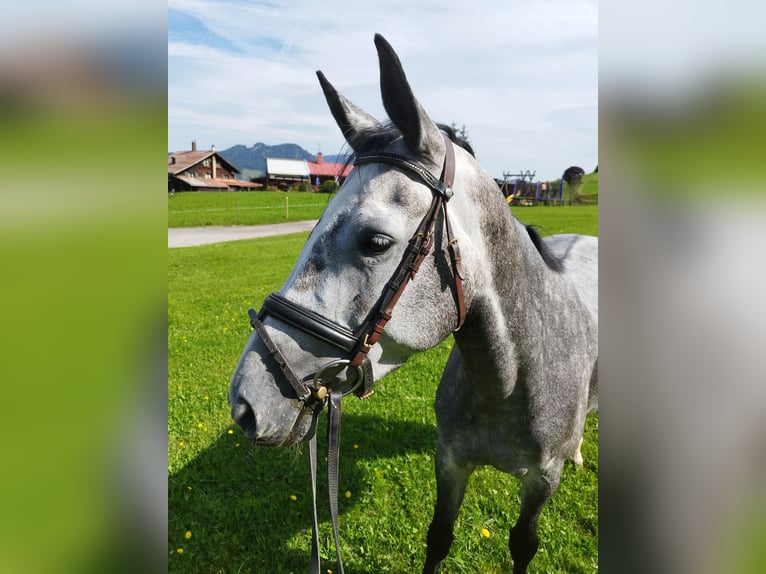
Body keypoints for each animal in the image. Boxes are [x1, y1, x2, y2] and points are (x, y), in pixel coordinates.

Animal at [228, 33, 600, 572]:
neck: (511, 379)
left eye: (376, 242)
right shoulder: (450, 463)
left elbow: (522, 545)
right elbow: (439, 537)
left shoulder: (540, 482)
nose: (244, 404)